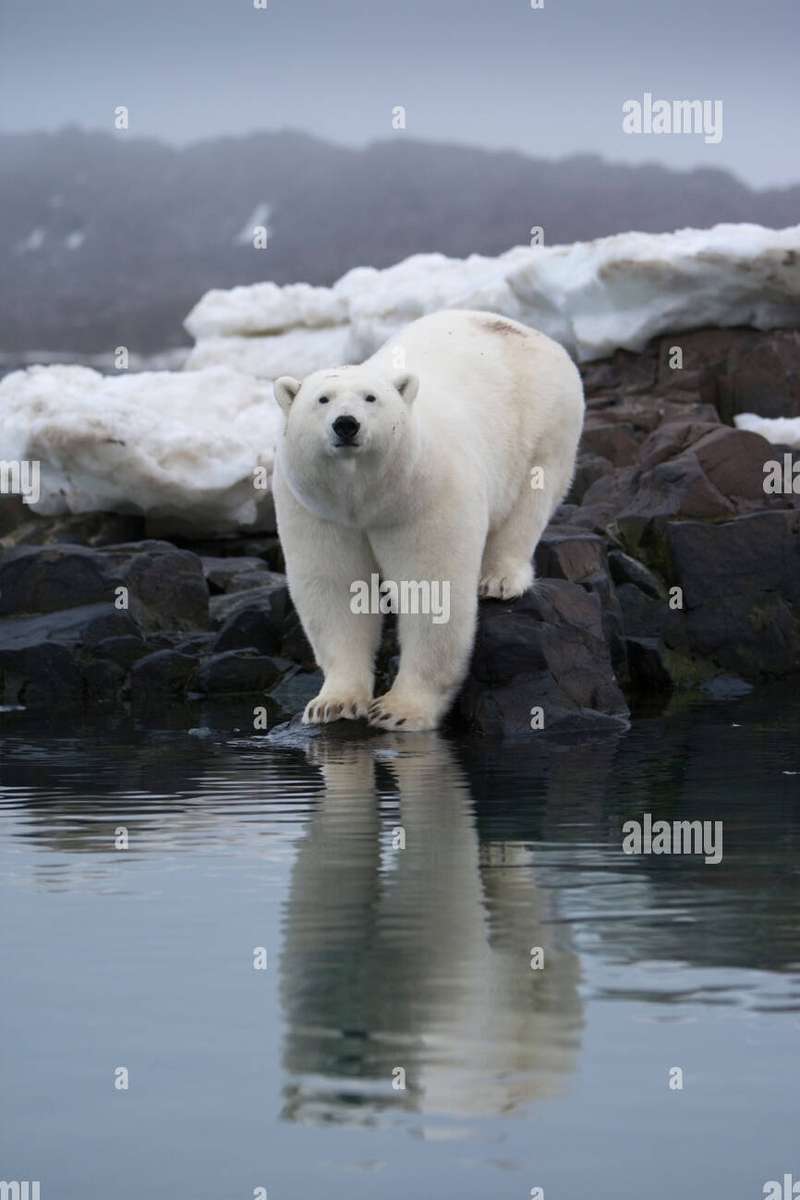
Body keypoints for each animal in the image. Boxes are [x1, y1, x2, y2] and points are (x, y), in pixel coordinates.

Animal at [272, 309, 585, 729]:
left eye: (371, 398)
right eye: (322, 399)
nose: (346, 423)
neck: (368, 497)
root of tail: (524, 329)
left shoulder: (426, 498)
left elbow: (431, 587)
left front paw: (400, 710)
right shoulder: (316, 510)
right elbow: (335, 588)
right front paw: (333, 703)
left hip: (546, 423)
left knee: (531, 500)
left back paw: (499, 578)